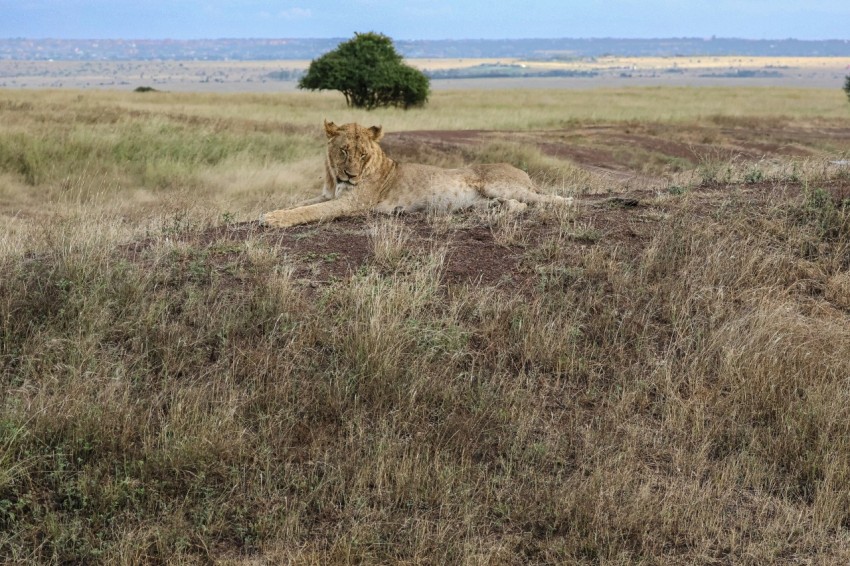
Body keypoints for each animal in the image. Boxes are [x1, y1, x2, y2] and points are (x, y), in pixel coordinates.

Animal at [260, 120, 572, 228]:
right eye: (344, 151)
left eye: (363, 154)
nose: (351, 176)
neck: (334, 179)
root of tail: (522, 172)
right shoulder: (326, 195)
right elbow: (299, 204)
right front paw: (267, 212)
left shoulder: (353, 203)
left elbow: (310, 212)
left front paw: (274, 220)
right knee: (517, 206)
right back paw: (495, 211)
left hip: (502, 186)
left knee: (545, 200)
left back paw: (565, 202)